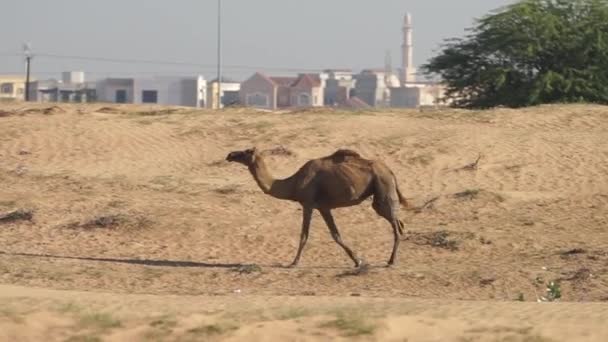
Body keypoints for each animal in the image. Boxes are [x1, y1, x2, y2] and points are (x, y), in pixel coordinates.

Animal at [226, 147, 410, 268]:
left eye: (245, 151)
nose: (230, 155)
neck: (293, 184)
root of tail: (390, 171)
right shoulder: (323, 207)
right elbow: (336, 235)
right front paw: (357, 260)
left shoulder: (307, 204)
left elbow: (304, 235)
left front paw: (293, 263)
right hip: (380, 192)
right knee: (399, 222)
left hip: (382, 186)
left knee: (395, 224)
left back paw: (391, 261)